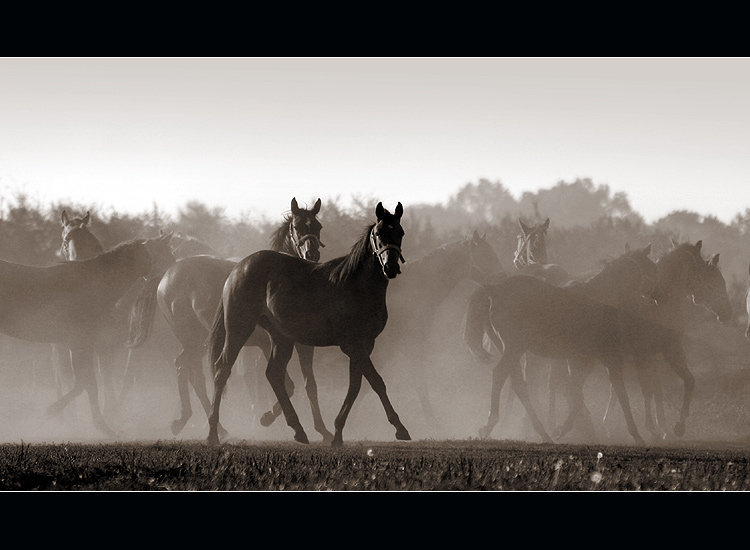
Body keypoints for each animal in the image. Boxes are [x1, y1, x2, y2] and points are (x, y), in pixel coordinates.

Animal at [0, 234, 175, 440]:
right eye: (167, 253)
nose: (174, 280)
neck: (92, 284)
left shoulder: (78, 345)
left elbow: (86, 383)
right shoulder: (81, 344)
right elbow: (88, 383)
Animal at [128, 199, 334, 444]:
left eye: (318, 226)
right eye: (297, 226)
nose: (311, 253)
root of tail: (167, 274)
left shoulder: (300, 345)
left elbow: (308, 384)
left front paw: (321, 429)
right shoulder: (270, 344)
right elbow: (288, 383)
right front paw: (270, 418)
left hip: (200, 342)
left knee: (187, 368)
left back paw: (200, 423)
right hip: (193, 339)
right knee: (192, 372)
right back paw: (200, 423)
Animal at [207, 203, 412, 448]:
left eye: (400, 232)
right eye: (379, 234)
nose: (390, 267)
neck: (355, 286)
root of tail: (239, 267)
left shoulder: (364, 344)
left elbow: (355, 386)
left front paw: (337, 432)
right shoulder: (352, 345)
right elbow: (376, 381)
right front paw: (400, 428)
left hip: (281, 337)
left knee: (274, 374)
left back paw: (298, 429)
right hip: (239, 328)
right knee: (222, 369)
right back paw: (213, 433)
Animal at [464, 246, 664, 444]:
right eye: (653, 268)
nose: (659, 297)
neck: (599, 297)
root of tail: (495, 289)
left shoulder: (578, 359)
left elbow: (576, 391)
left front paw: (567, 428)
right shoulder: (604, 358)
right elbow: (618, 394)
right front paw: (637, 435)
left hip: (509, 349)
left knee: (518, 384)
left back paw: (542, 432)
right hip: (515, 347)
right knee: (501, 375)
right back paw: (491, 425)